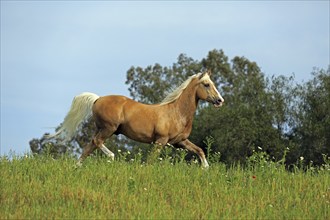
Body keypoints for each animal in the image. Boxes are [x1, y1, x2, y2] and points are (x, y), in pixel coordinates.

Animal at [47, 71, 224, 168]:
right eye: (206, 84)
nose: (220, 100)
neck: (176, 112)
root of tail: (97, 99)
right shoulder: (161, 141)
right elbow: (151, 161)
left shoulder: (180, 141)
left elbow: (200, 150)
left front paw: (206, 169)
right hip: (108, 128)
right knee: (96, 143)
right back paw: (111, 157)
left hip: (102, 129)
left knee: (88, 148)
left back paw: (76, 168)